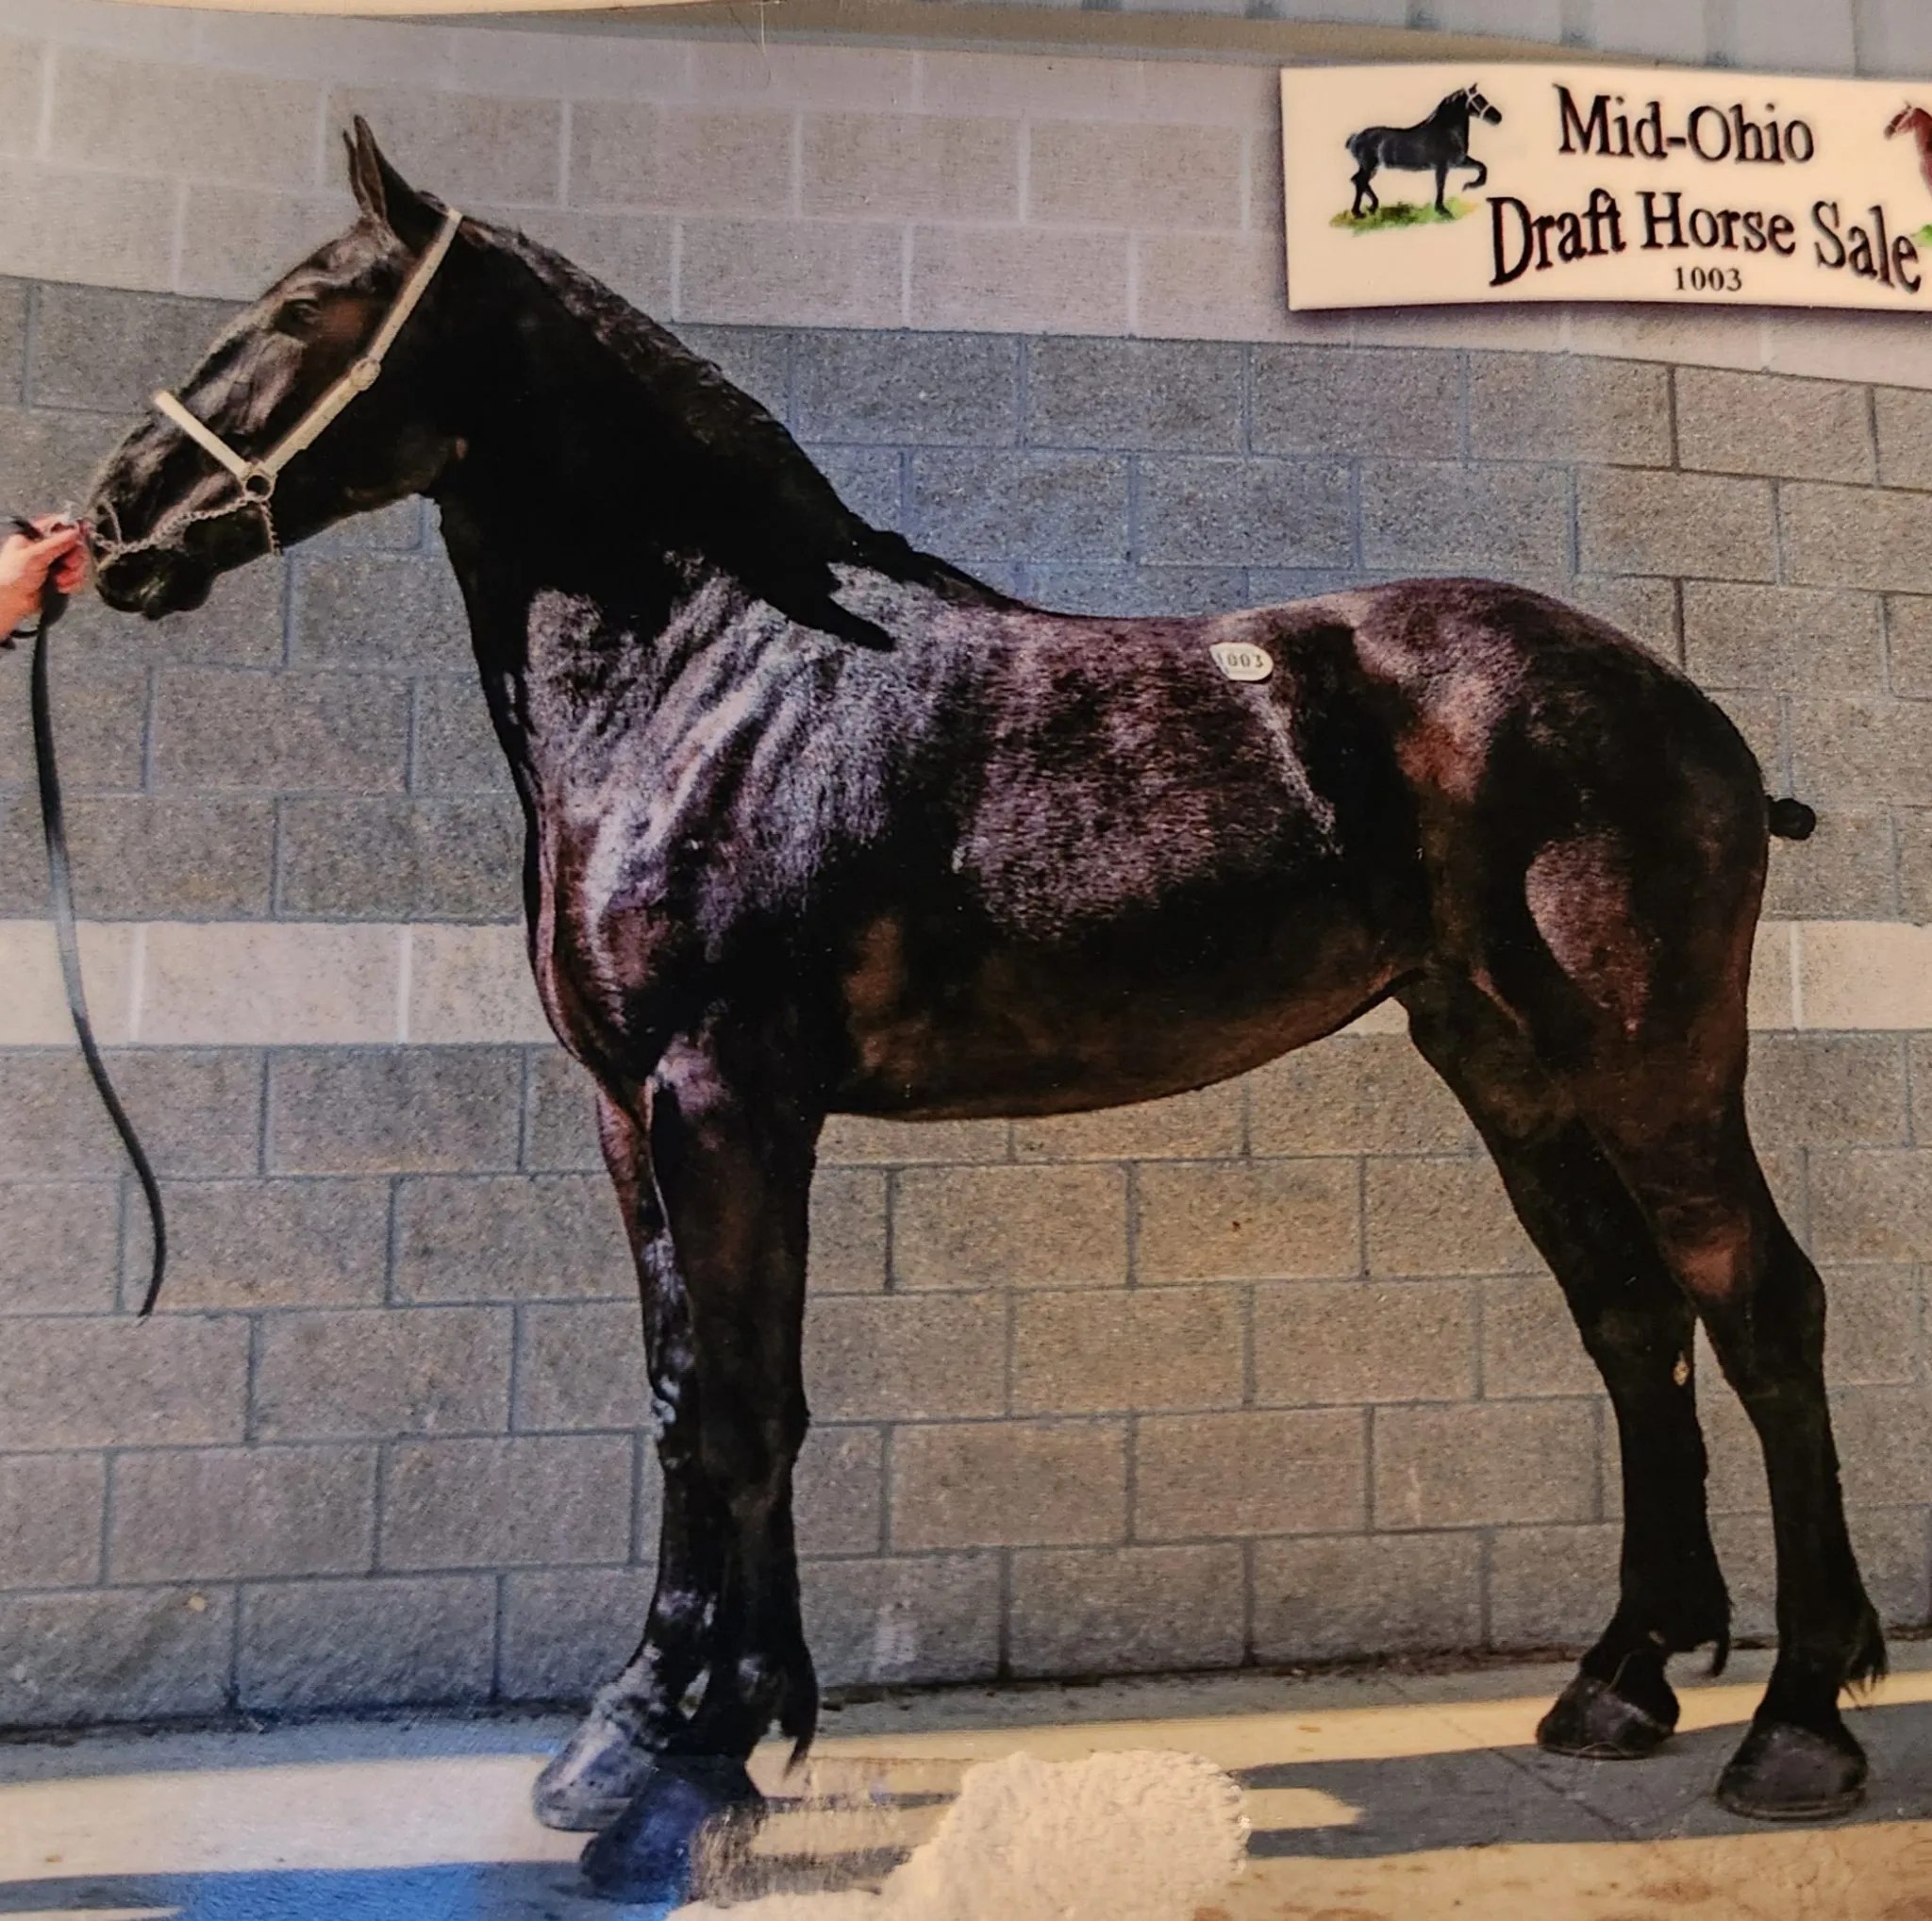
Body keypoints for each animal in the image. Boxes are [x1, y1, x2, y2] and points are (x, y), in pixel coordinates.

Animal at [82, 122, 1881, 1901]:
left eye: (305, 305)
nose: (111, 523)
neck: (715, 672)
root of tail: (1689, 716)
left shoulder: (726, 1097)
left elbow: (742, 1412)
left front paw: (698, 1773)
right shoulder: (633, 1112)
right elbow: (686, 1400)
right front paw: (635, 1740)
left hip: (1647, 1057)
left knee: (1760, 1303)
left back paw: (1800, 1724)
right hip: (1503, 1063)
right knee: (1631, 1319)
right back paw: (1622, 1682)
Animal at [1347, 83, 1503, 218]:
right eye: (1478, 99)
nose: (1498, 117)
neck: (1445, 131)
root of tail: (1355, 137)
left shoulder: (1459, 162)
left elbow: (1482, 167)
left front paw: (1468, 186)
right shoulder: (1442, 166)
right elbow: (1440, 185)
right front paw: (1442, 210)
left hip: (1372, 167)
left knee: (1358, 181)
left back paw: (1371, 208)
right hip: (1369, 166)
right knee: (1360, 181)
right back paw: (1360, 212)